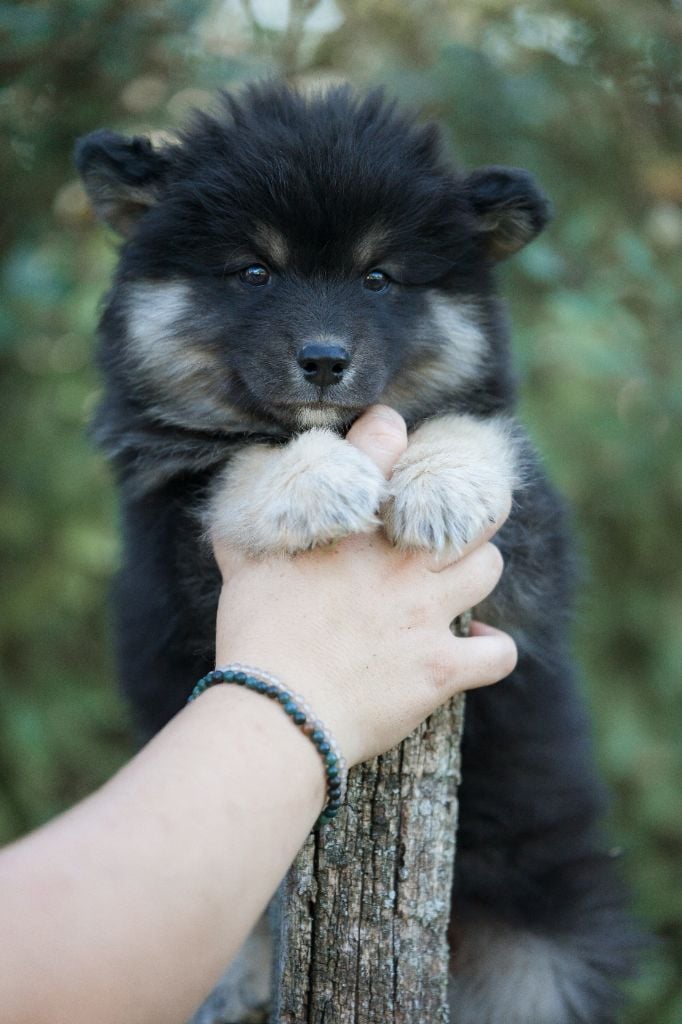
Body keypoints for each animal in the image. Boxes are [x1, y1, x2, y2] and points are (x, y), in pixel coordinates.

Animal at [76, 82, 638, 1023]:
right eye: (254, 272)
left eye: (379, 277)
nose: (324, 360)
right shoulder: (172, 557)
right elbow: (225, 471)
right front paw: (315, 476)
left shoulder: (524, 583)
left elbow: (474, 431)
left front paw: (442, 486)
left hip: (536, 960)